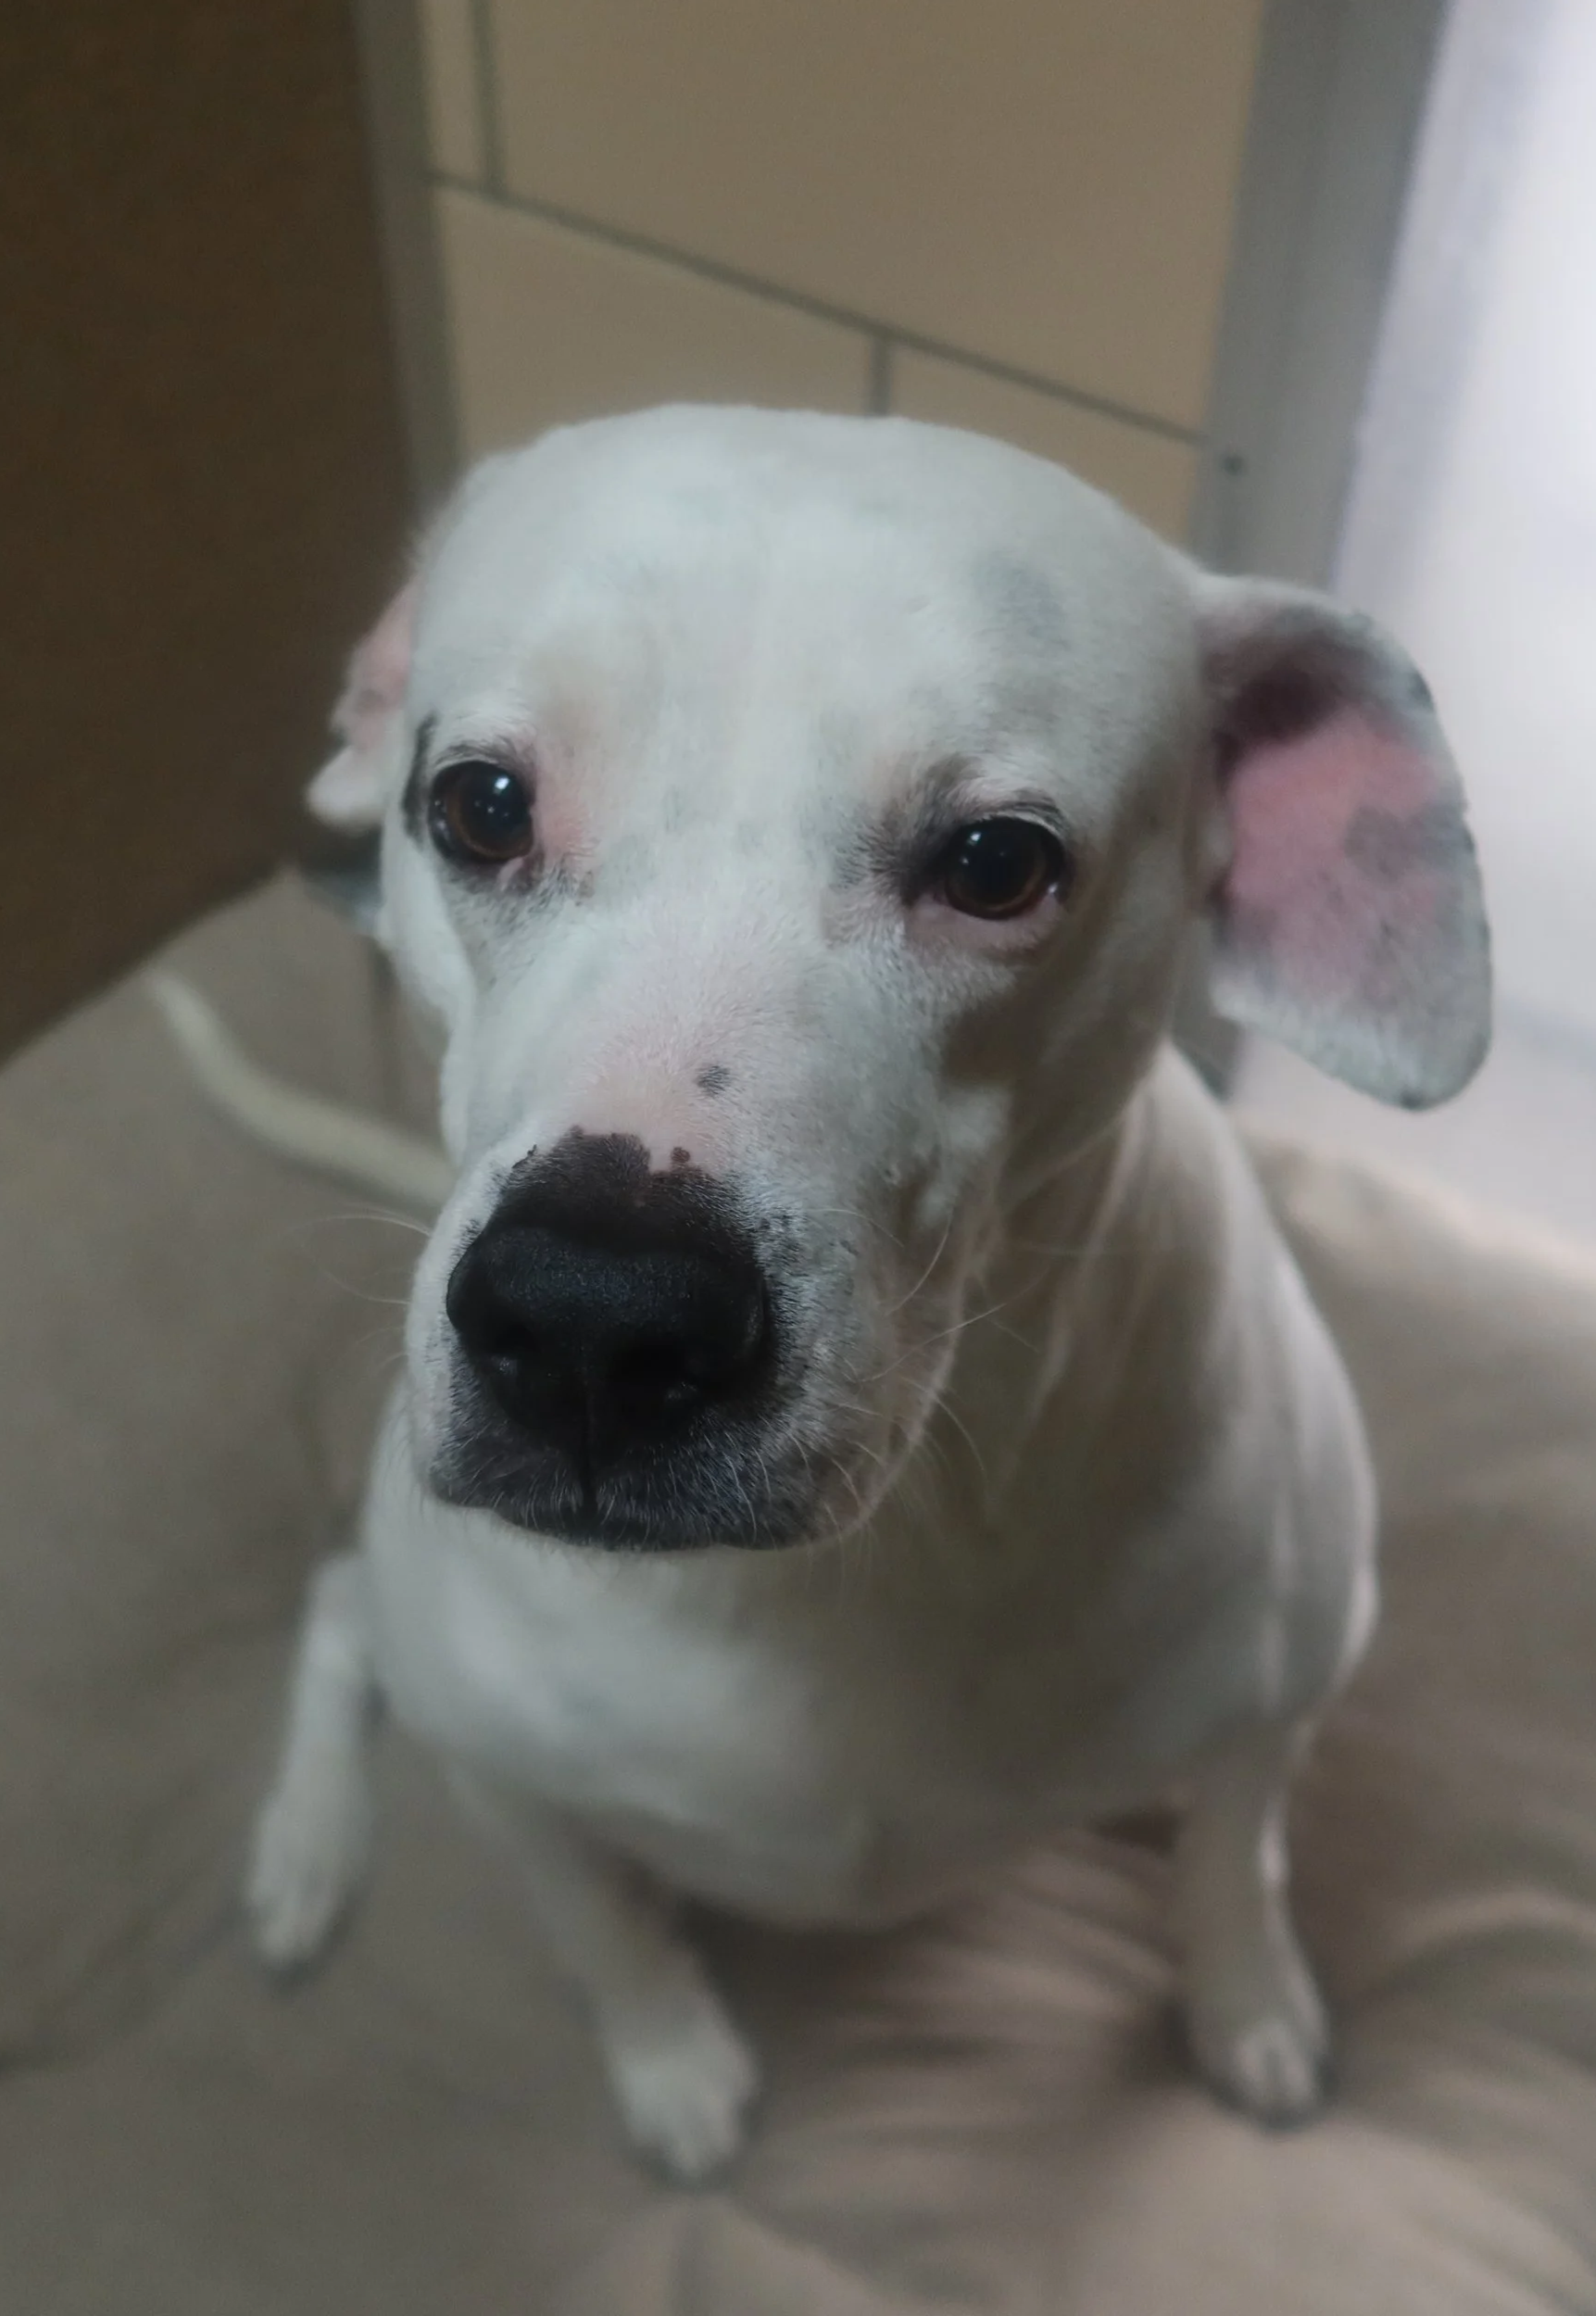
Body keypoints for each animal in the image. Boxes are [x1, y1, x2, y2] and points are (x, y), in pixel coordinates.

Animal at [235, 406, 1489, 2182]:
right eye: (476, 806)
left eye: (994, 862)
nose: (592, 1319)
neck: (870, 1566)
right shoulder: (519, 1799)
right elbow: (606, 1936)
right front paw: (669, 2064)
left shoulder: (1275, 1705)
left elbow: (1230, 1862)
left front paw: (1245, 2005)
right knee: (346, 1607)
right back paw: (303, 1847)